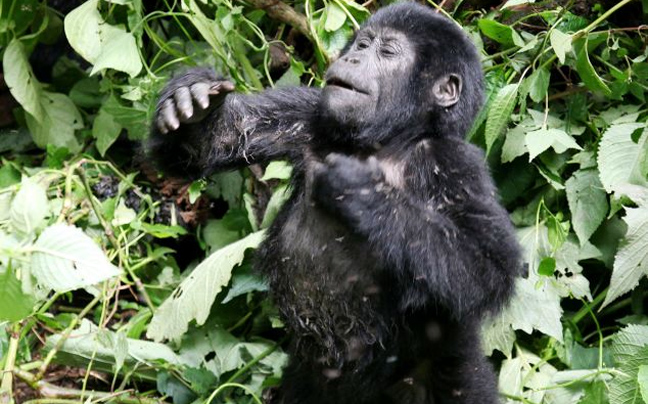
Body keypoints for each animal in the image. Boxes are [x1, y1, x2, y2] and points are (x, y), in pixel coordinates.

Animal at [148, 3, 520, 404]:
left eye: (387, 51)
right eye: (363, 43)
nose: (353, 57)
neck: (390, 141)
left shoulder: (453, 162)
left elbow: (489, 266)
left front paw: (362, 192)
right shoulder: (311, 111)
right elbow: (227, 136)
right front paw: (192, 107)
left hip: (450, 364)